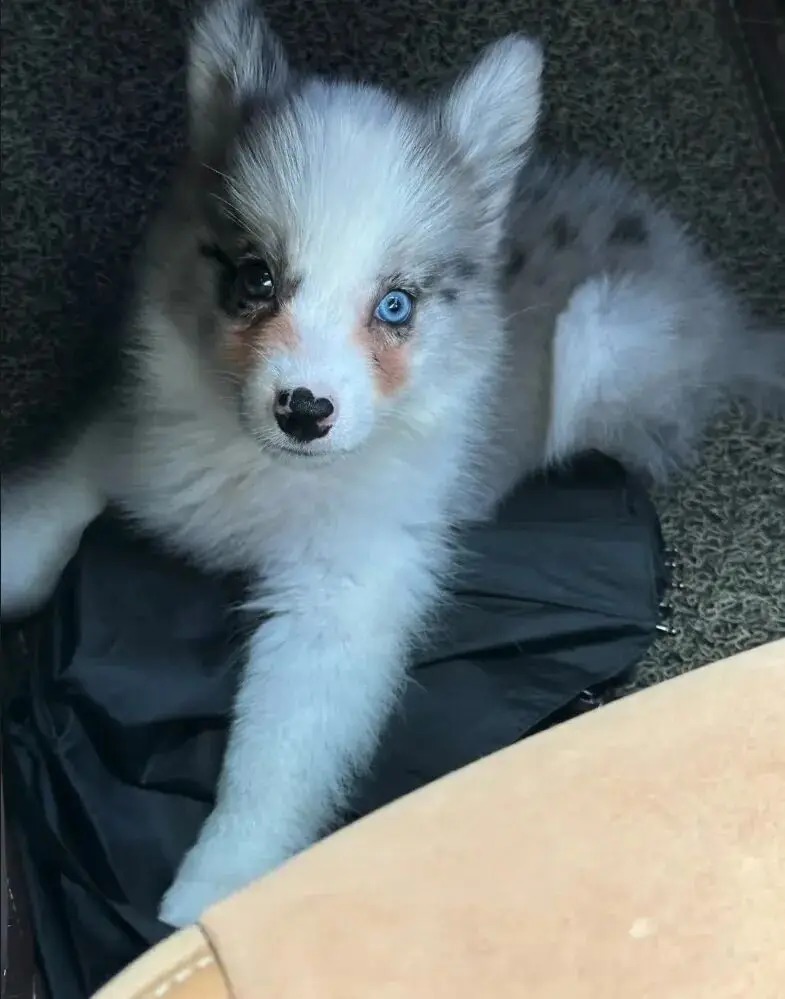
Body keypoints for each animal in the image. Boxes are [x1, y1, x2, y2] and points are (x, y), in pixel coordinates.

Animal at [2, 0, 783, 927]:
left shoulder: (345, 594)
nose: (303, 410)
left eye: (396, 305)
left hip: (608, 338)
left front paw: (213, 893)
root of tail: (715, 308)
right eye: (255, 278)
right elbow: (41, 520)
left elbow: (280, 754)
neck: (259, 469)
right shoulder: (131, 434)